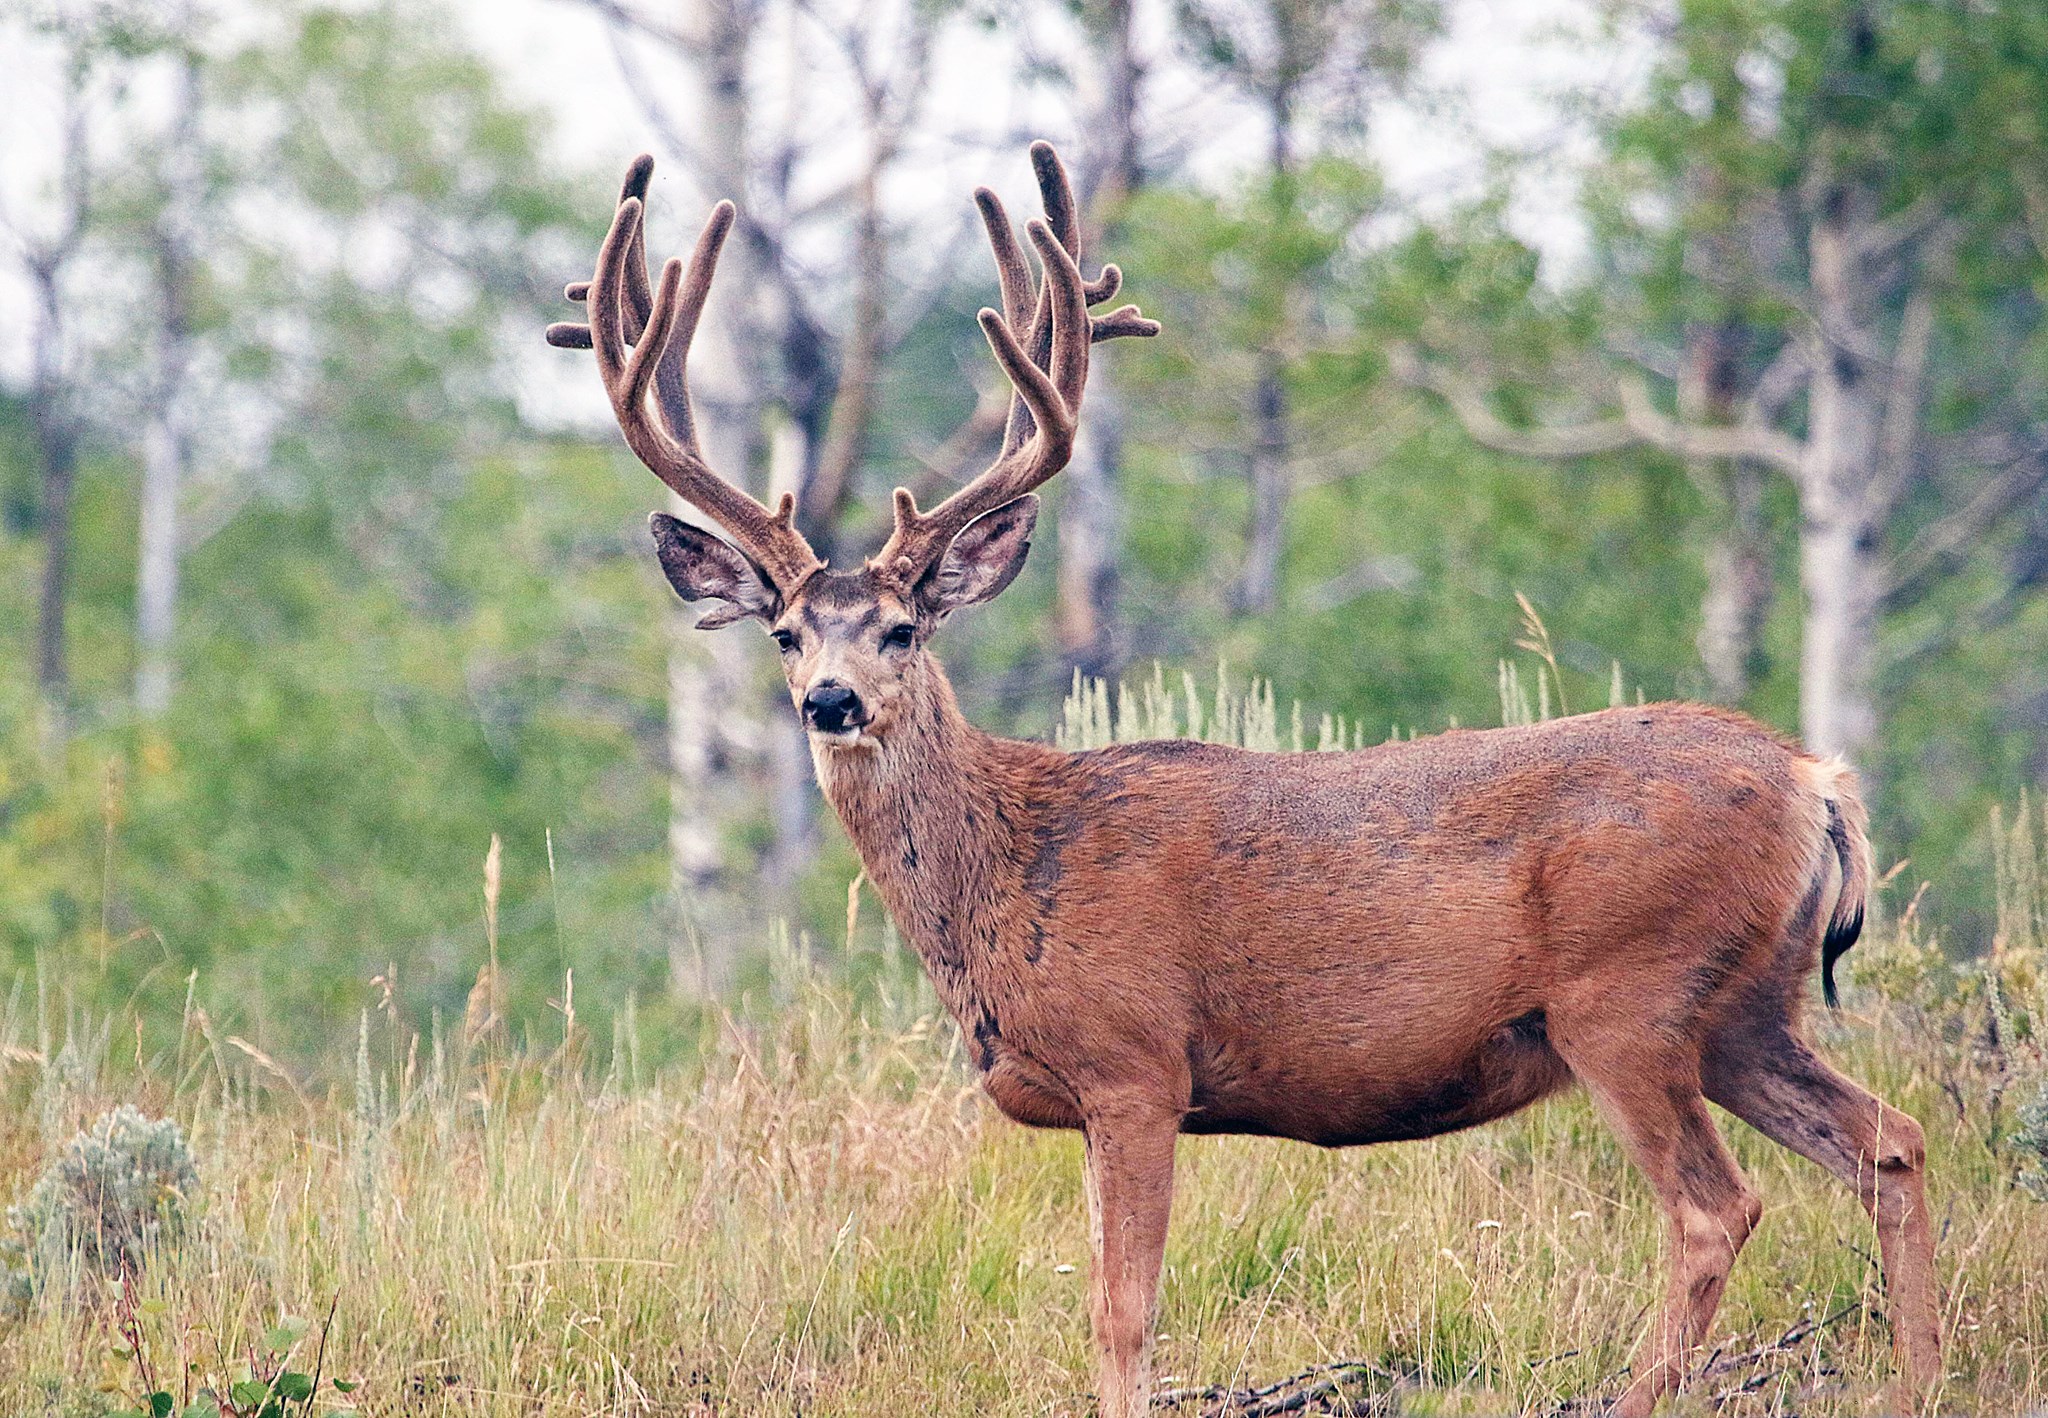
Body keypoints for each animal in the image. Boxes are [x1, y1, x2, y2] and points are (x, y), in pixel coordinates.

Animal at [545, 143, 1942, 1418]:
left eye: (901, 628)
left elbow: (1122, 1313)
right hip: (1744, 1005)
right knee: (1889, 1140)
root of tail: (1816, 780)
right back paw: (1918, 1377)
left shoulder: (1134, 1061)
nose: (828, 699)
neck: (1007, 875)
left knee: (1715, 1206)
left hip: (1630, 992)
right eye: (786, 630)